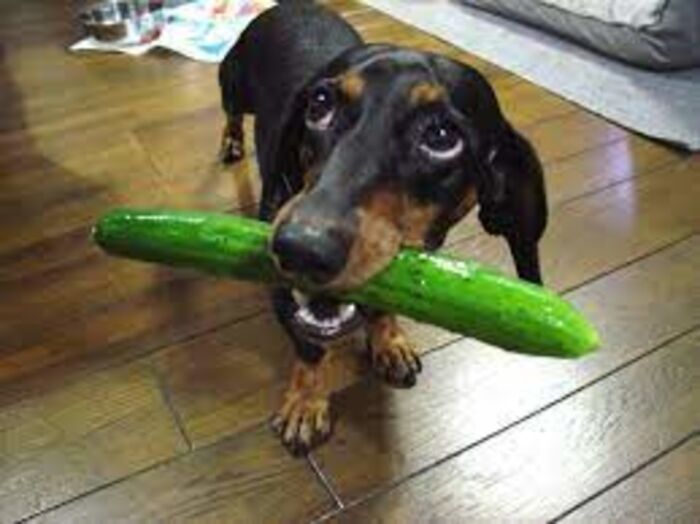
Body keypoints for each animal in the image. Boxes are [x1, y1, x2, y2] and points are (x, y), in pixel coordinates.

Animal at [219, 0, 548, 454]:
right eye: (319, 104)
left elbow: (386, 305)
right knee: (231, 113)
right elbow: (310, 348)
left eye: (442, 135)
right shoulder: (284, 296)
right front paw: (306, 403)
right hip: (231, 83)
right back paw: (231, 141)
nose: (300, 248)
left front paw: (389, 340)